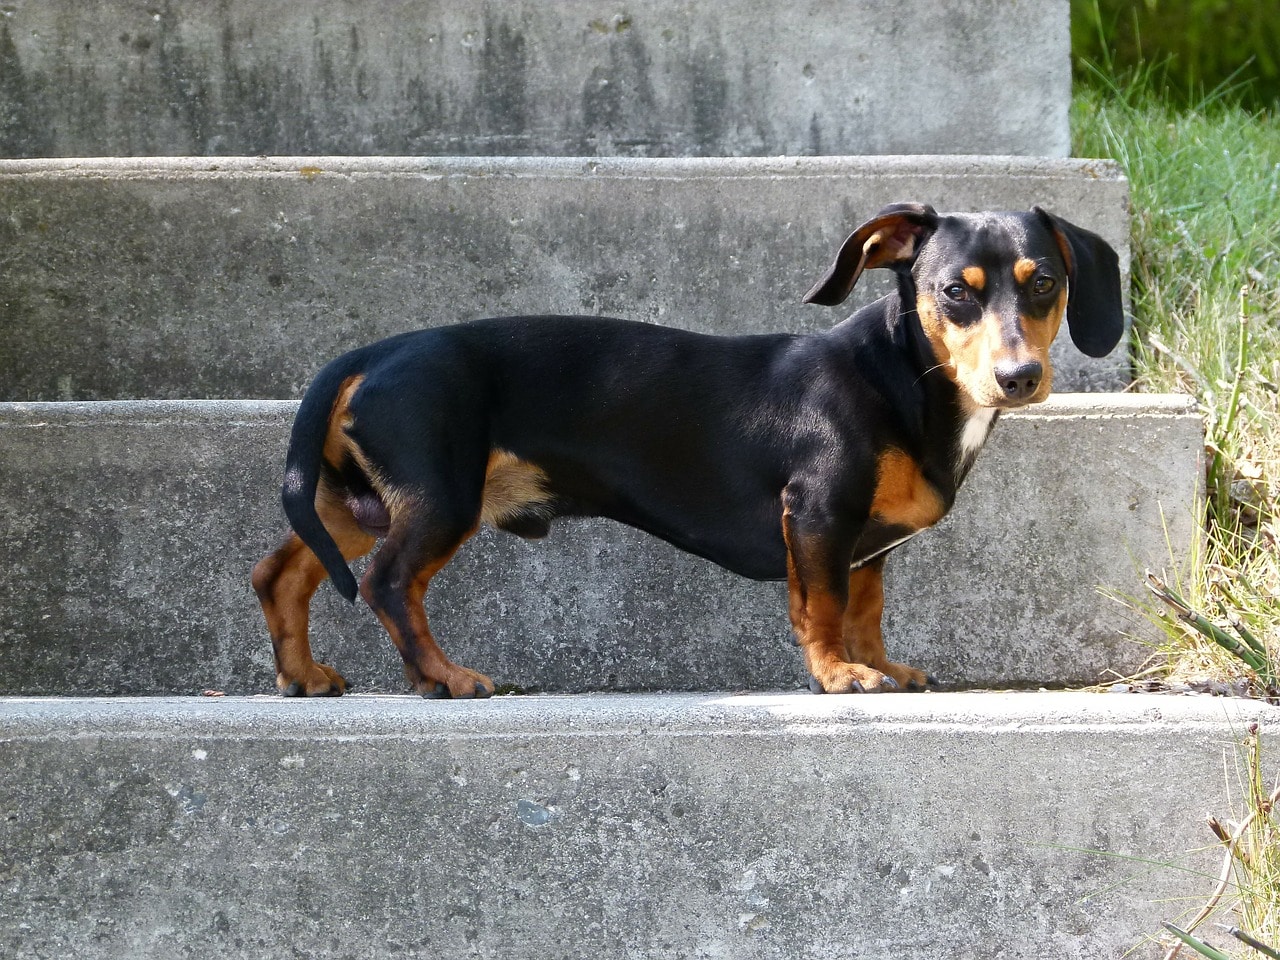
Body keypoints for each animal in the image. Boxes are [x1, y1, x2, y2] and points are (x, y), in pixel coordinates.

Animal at [249, 203, 1121, 701]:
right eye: (954, 291)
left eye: (1044, 284)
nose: (1019, 377)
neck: (902, 374)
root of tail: (372, 353)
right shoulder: (818, 512)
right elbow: (825, 607)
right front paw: (838, 674)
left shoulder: (865, 542)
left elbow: (865, 607)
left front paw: (881, 664)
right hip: (438, 497)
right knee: (389, 585)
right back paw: (443, 677)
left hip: (355, 501)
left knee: (280, 573)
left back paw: (303, 676)